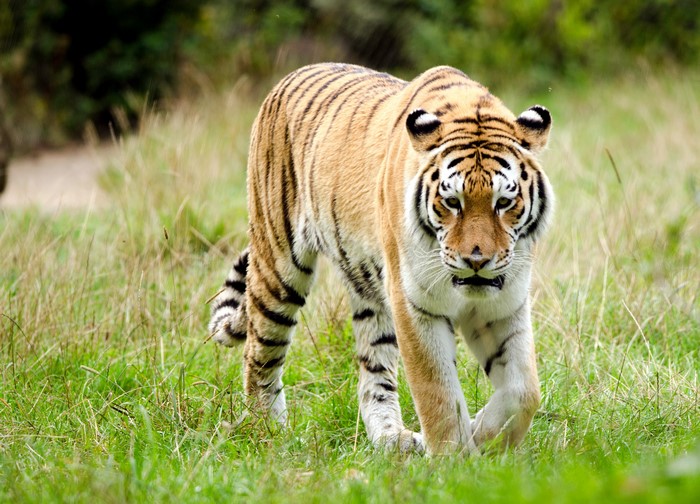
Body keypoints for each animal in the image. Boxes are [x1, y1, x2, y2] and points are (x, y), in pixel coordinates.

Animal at [209, 63, 553, 455]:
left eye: (504, 202)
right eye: (452, 202)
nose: (476, 261)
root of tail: (287, 79)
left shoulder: (504, 304)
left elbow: (523, 391)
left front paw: (482, 435)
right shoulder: (414, 305)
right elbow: (438, 394)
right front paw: (454, 458)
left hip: (370, 294)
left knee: (372, 376)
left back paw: (393, 438)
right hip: (279, 270)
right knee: (259, 353)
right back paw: (269, 433)